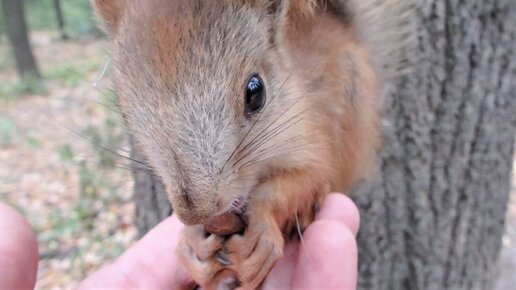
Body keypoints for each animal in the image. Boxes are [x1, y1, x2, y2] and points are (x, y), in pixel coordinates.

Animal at [91, 0, 412, 290]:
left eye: (255, 92)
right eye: (123, 111)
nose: (197, 213)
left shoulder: (311, 140)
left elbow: (306, 179)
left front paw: (261, 236)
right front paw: (191, 244)